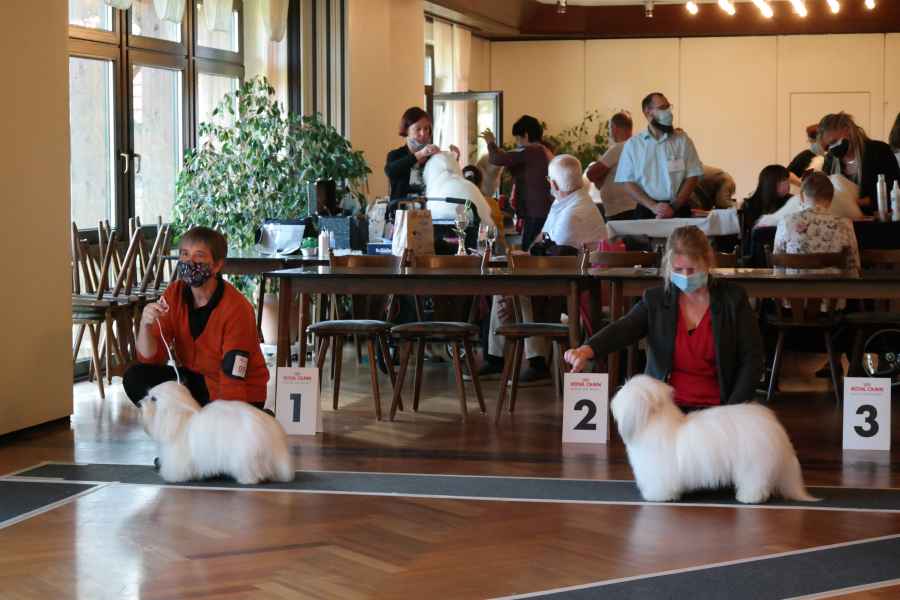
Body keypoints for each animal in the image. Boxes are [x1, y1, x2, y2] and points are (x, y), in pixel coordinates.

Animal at [139, 381, 294, 485]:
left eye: (153, 398)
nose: (140, 402)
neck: (180, 419)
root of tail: (267, 424)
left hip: (244, 455)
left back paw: (247, 480)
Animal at [611, 375, 817, 504]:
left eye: (624, 394)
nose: (612, 403)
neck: (654, 424)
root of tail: (774, 426)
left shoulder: (659, 472)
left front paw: (656, 496)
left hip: (753, 464)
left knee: (755, 482)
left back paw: (748, 498)